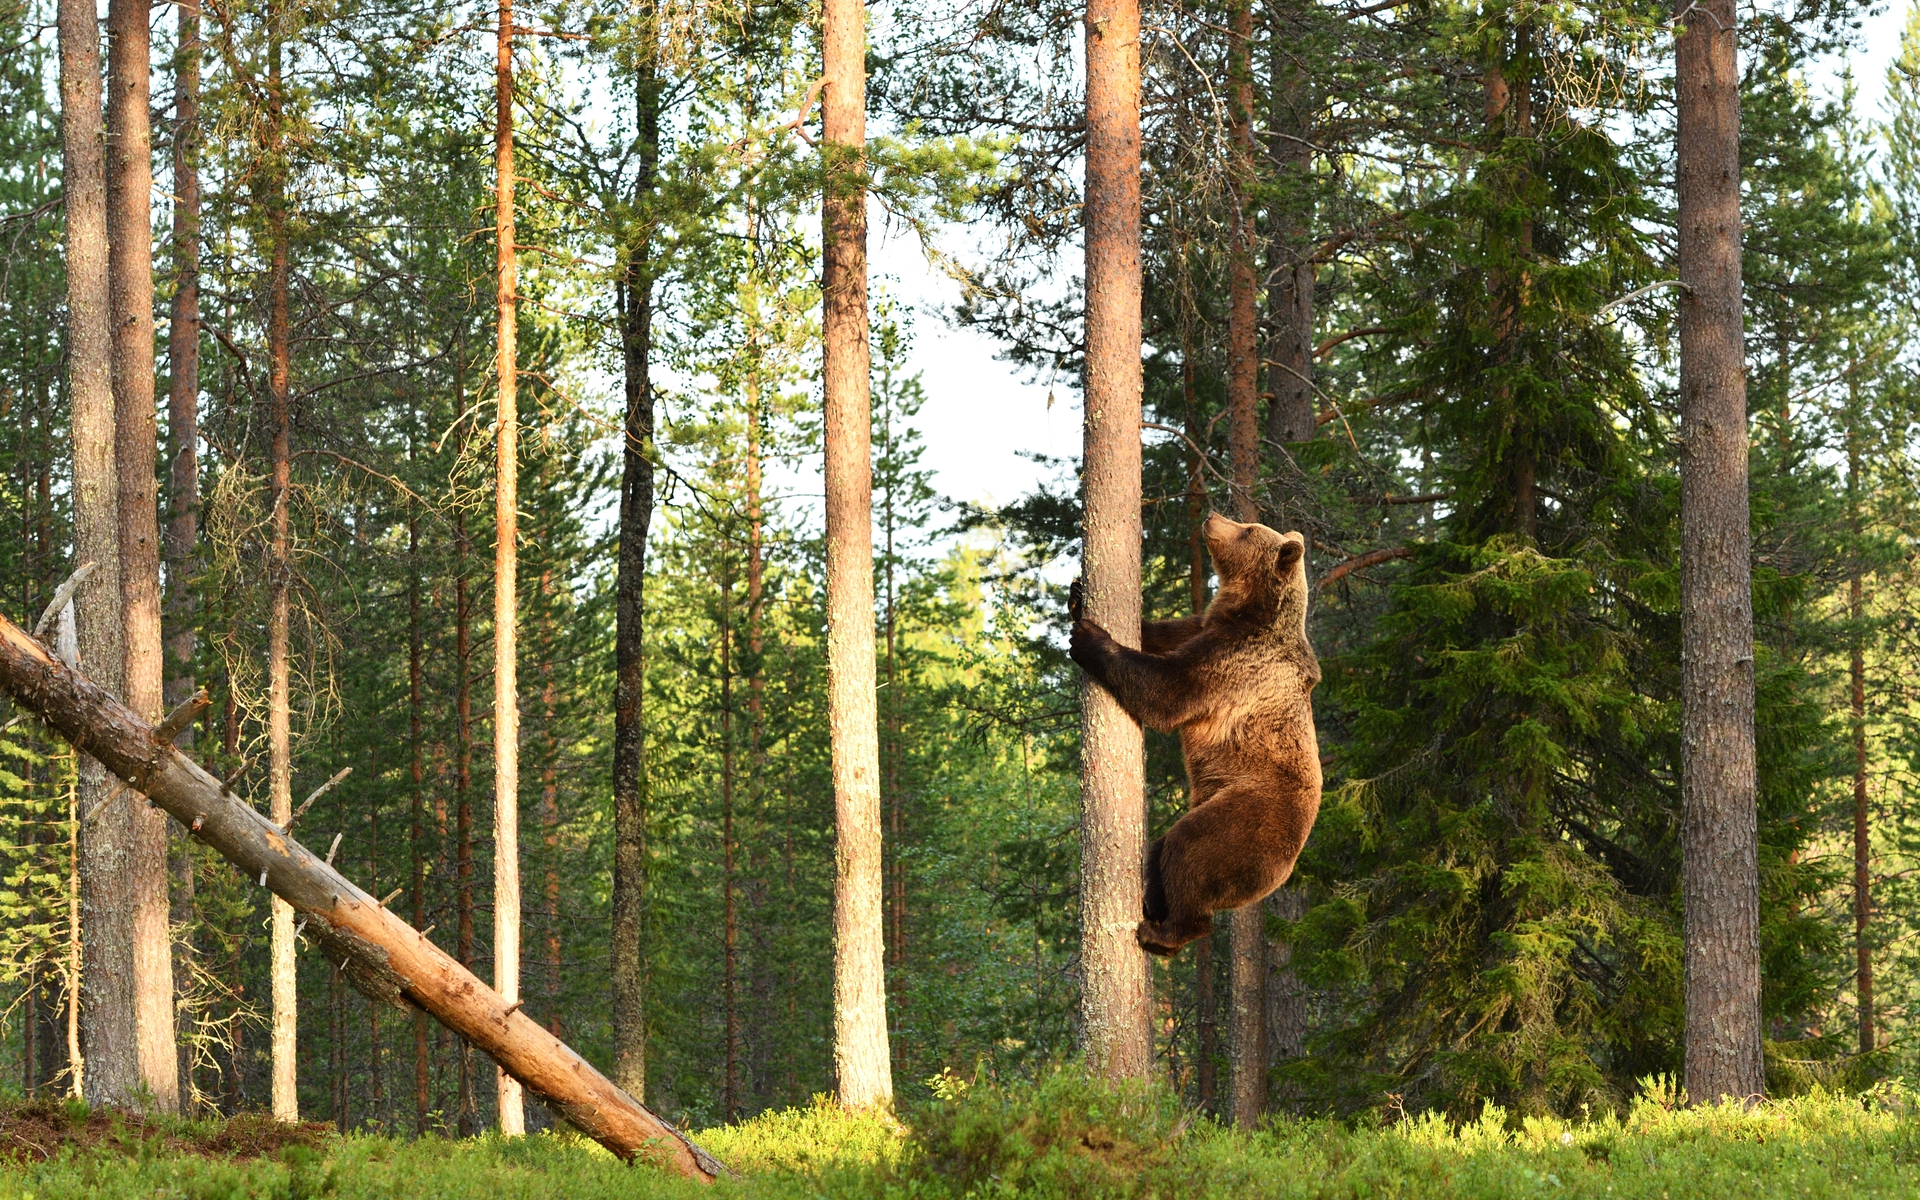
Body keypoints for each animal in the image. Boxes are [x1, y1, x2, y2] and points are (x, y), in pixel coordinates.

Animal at [1068, 514, 1322, 956]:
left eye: (1248, 528)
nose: (1213, 517)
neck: (1248, 610)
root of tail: (1280, 876)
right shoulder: (1205, 627)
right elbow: (1163, 634)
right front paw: (1077, 596)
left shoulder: (1235, 663)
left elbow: (1167, 691)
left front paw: (1089, 638)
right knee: (1159, 851)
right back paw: (1154, 907)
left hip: (1247, 812)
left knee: (1191, 850)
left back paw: (1164, 932)